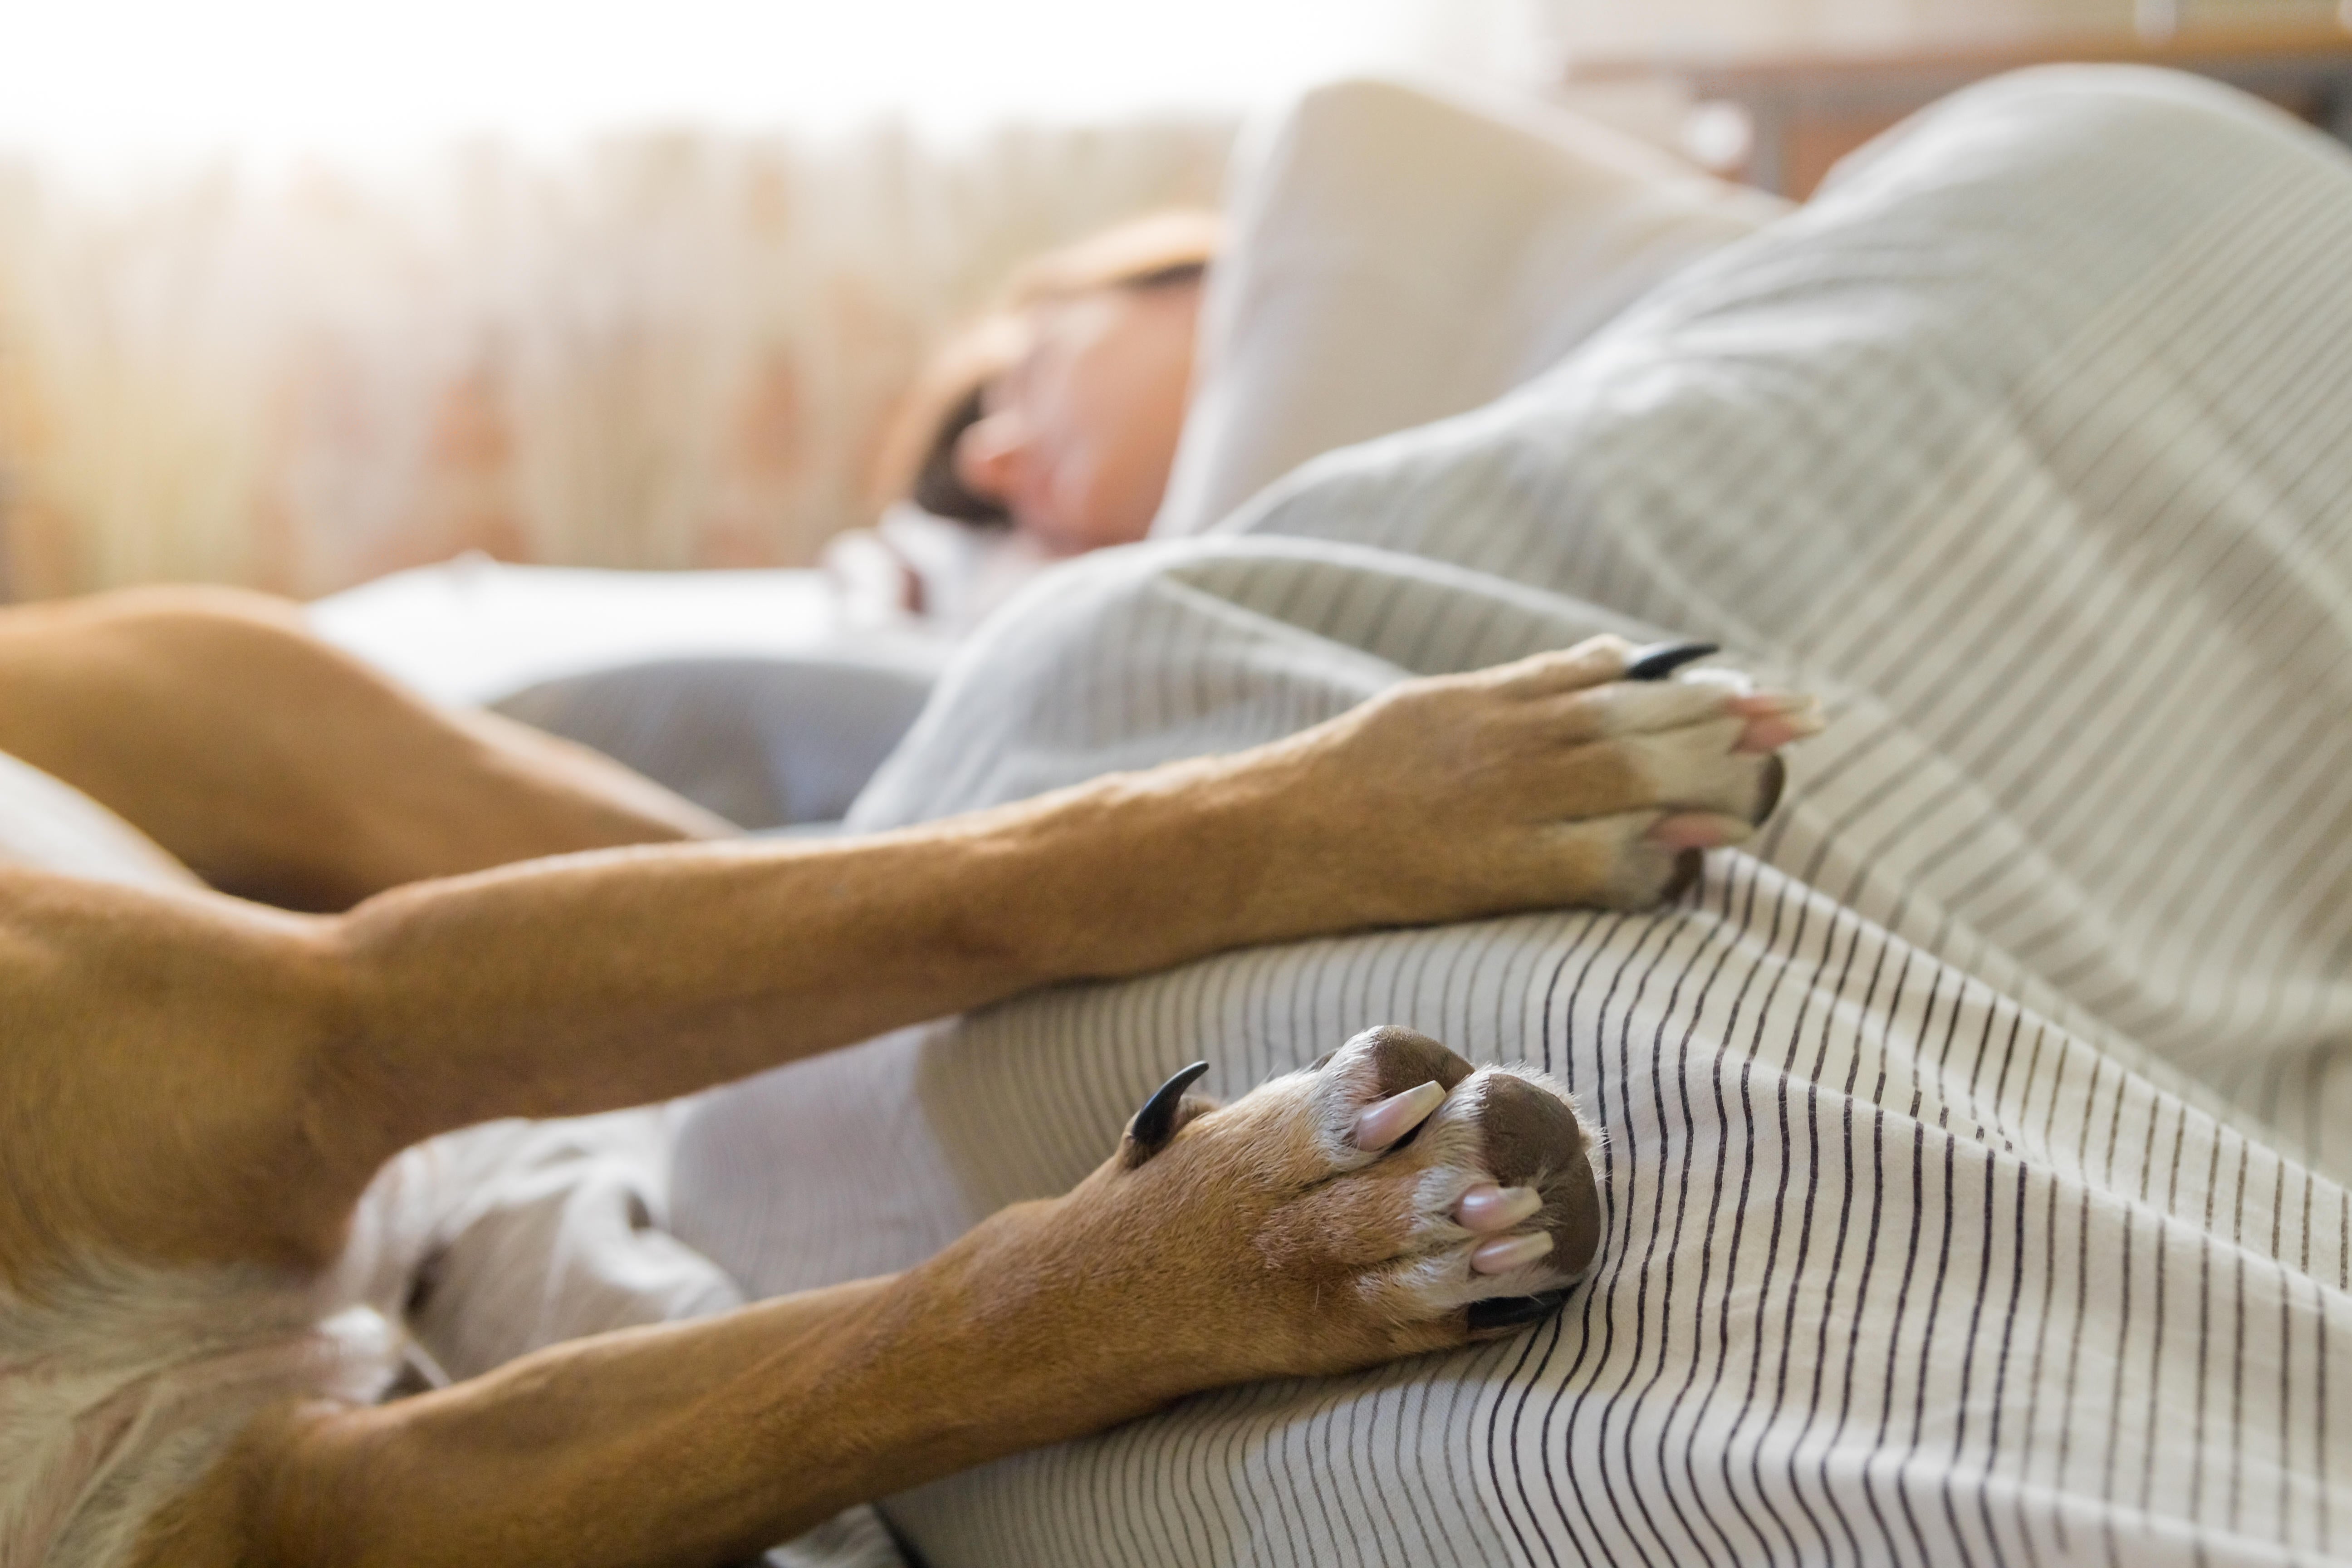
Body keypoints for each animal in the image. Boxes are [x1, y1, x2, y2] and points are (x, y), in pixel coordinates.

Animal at [0, 588, 1816, 1568]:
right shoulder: (357, 1504)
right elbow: (889, 1362)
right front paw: (1307, 1242)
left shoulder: (350, 1008)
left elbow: (964, 884)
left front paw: (1465, 784)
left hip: (397, 761)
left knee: (803, 846)